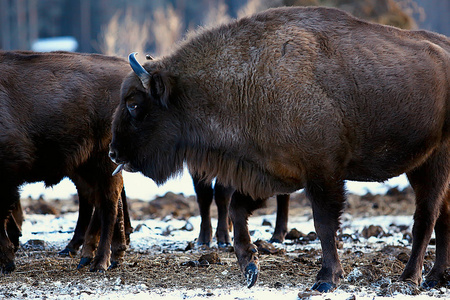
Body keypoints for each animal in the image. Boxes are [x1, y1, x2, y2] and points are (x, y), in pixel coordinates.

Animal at [0, 51, 132, 272]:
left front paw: (8, 261)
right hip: (87, 165)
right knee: (100, 198)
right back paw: (100, 256)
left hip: (103, 162)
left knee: (108, 201)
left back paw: (99, 262)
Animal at [109, 6, 450, 292]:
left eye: (134, 104)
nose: (113, 152)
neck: (248, 80)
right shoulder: (272, 174)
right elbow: (237, 208)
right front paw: (249, 266)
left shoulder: (323, 175)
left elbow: (324, 224)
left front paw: (326, 279)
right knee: (442, 215)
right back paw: (435, 278)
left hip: (433, 162)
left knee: (426, 217)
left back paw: (410, 278)